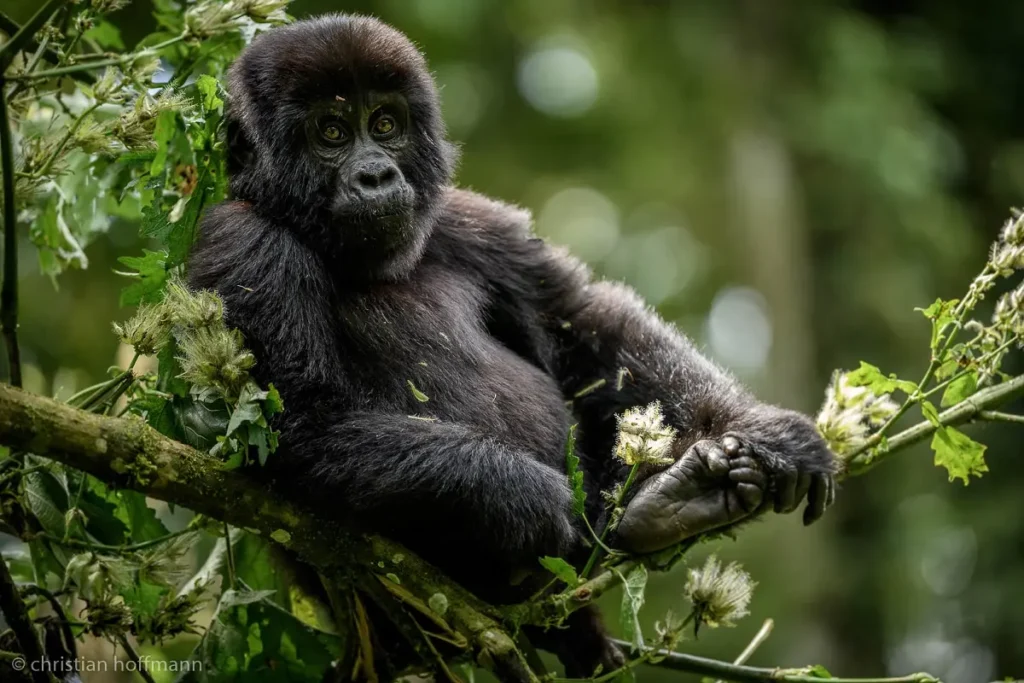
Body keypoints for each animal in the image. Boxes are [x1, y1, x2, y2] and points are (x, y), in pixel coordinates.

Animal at [186, 14, 838, 677]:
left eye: (386, 124)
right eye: (332, 132)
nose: (376, 175)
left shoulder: (458, 215)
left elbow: (577, 318)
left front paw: (765, 431)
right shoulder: (239, 239)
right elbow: (294, 425)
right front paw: (522, 497)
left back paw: (668, 507)